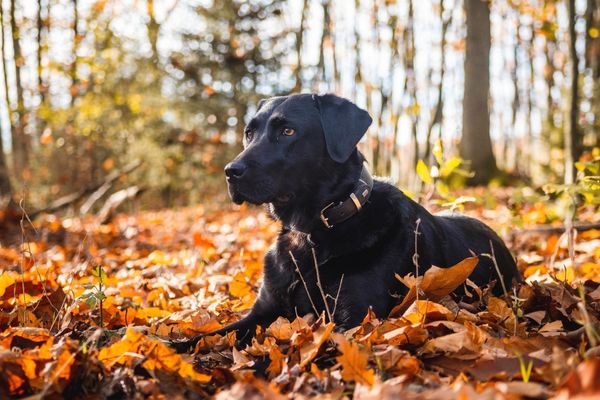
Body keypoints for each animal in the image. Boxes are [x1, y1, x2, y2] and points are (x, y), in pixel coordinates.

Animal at [173, 93, 520, 350]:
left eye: (288, 131)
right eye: (249, 132)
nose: (230, 171)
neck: (311, 234)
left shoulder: (353, 321)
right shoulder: (264, 310)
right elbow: (210, 335)